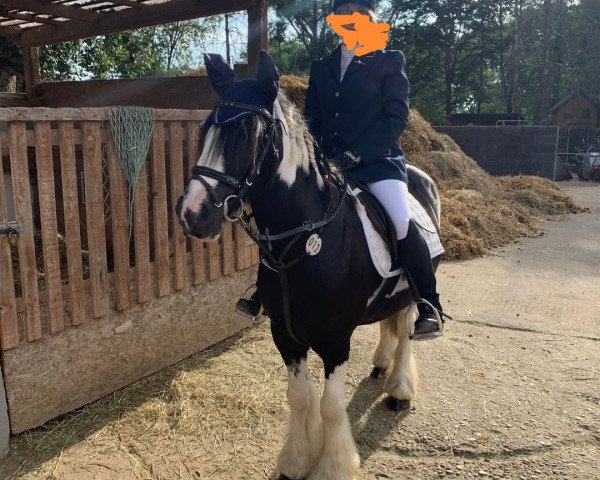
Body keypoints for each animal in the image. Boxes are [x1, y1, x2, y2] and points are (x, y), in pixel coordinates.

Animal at [176, 50, 442, 478]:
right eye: (205, 131)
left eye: (249, 135)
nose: (192, 213)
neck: (304, 238)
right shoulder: (285, 335)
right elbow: (299, 397)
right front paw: (295, 460)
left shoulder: (335, 341)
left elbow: (331, 407)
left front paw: (332, 466)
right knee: (389, 328)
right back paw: (381, 366)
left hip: (412, 291)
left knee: (405, 333)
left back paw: (399, 389)